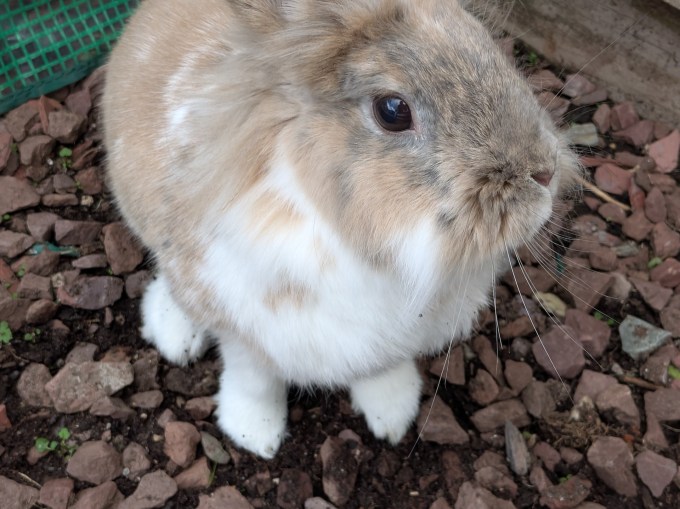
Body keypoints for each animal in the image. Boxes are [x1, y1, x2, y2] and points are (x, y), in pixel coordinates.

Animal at [102, 0, 579, 458]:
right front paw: (256, 436)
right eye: (393, 111)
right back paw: (172, 334)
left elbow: (381, 371)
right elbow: (253, 380)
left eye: (484, 42)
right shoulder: (243, 327)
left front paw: (393, 416)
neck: (363, 246)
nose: (544, 173)